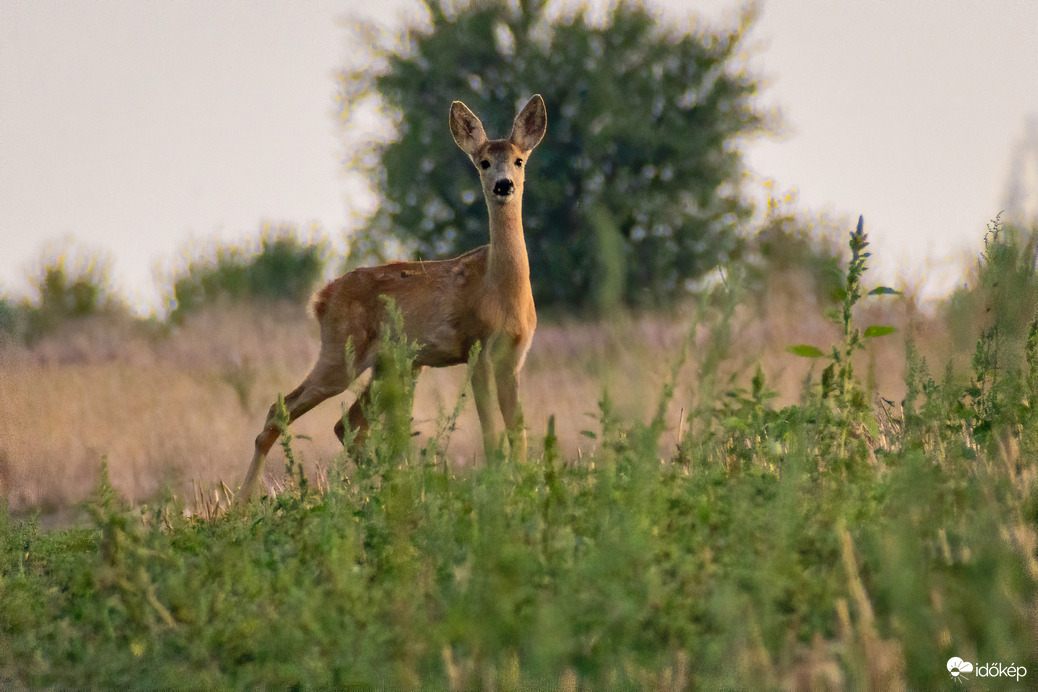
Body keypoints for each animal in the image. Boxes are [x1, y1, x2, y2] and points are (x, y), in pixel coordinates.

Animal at [237, 94, 547, 503]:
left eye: (519, 160)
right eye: (483, 162)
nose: (503, 185)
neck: (500, 289)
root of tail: (321, 298)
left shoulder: (513, 357)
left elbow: (518, 432)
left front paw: (524, 486)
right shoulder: (476, 346)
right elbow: (491, 434)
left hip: (393, 363)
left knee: (346, 424)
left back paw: (394, 486)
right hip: (342, 352)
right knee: (281, 410)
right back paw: (242, 503)